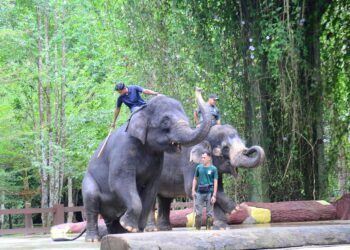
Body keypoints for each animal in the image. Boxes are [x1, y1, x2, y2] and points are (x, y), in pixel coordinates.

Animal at [82, 88, 212, 242]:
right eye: (165, 121)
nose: (198, 89)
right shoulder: (123, 150)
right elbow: (119, 181)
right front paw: (129, 226)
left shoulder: (158, 160)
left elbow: (151, 189)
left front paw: (135, 230)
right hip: (89, 181)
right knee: (91, 200)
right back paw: (93, 239)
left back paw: (118, 233)